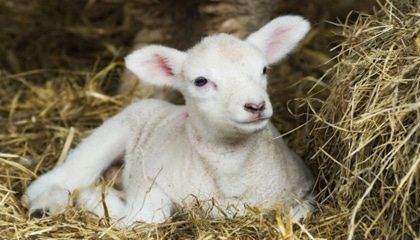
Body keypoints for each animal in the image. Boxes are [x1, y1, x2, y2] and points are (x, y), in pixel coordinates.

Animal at [21, 15, 314, 227]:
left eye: (263, 69)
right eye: (200, 81)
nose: (256, 106)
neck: (231, 175)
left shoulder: (305, 189)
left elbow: (300, 213)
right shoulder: (150, 182)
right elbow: (147, 216)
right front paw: (95, 199)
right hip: (112, 132)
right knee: (64, 177)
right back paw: (45, 205)